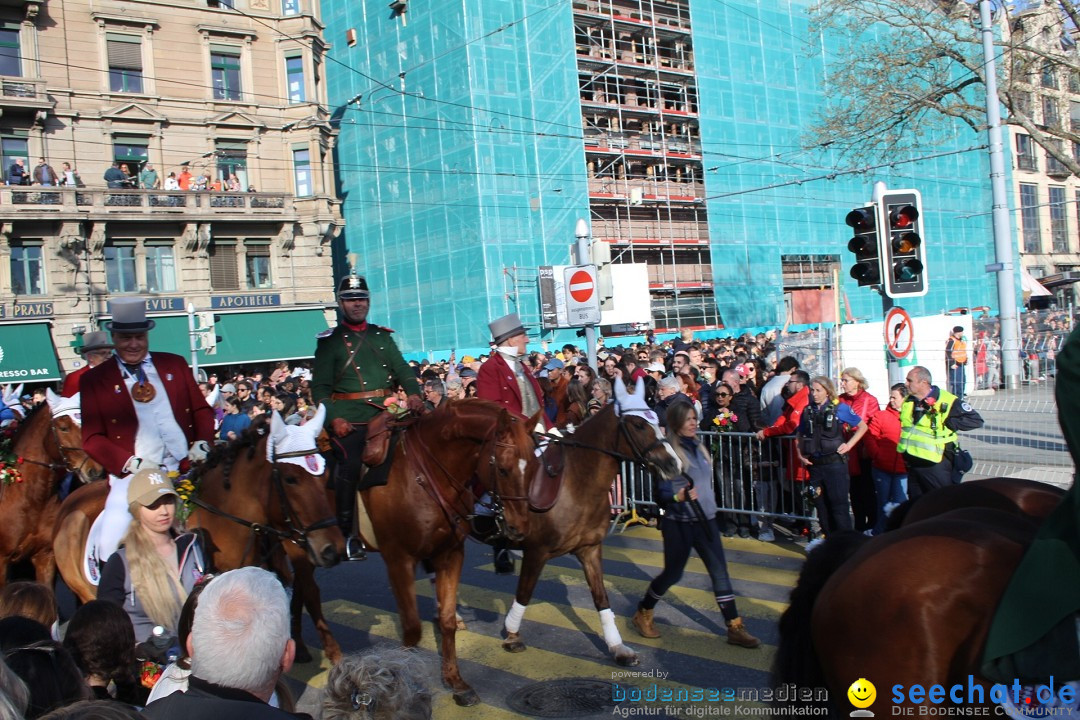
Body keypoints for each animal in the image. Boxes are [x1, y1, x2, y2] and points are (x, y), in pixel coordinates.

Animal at [360, 403, 540, 708]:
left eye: (535, 467)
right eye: (503, 470)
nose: (520, 529)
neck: (422, 476)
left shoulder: (451, 553)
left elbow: (446, 621)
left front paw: (456, 682)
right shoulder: (398, 559)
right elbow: (411, 628)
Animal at [498, 377, 682, 669]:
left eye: (656, 418)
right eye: (639, 424)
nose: (673, 464)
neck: (576, 483)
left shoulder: (590, 549)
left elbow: (601, 597)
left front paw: (617, 647)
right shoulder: (536, 552)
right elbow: (524, 592)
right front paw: (513, 634)